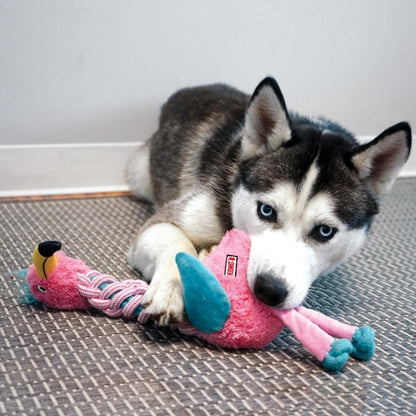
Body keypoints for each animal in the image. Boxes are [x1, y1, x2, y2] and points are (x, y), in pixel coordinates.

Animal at [125, 77, 412, 324]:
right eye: (266, 211)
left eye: (324, 231)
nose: (269, 290)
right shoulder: (167, 221)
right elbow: (176, 244)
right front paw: (170, 290)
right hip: (139, 173)